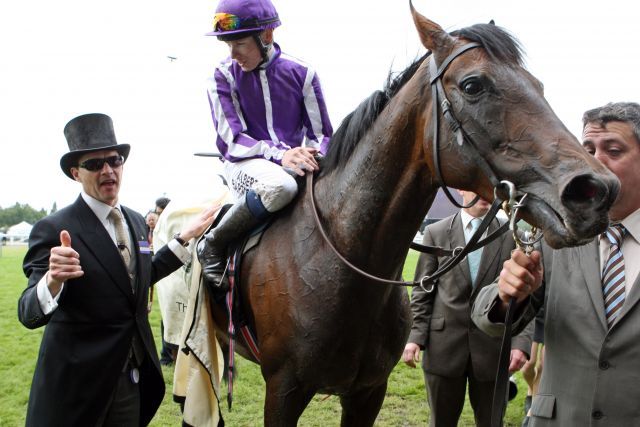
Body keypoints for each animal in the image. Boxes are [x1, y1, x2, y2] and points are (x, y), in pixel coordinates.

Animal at [209, 4, 620, 427]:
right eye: (473, 85)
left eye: (537, 84)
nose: (596, 190)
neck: (337, 262)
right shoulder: (283, 390)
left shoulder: (368, 391)